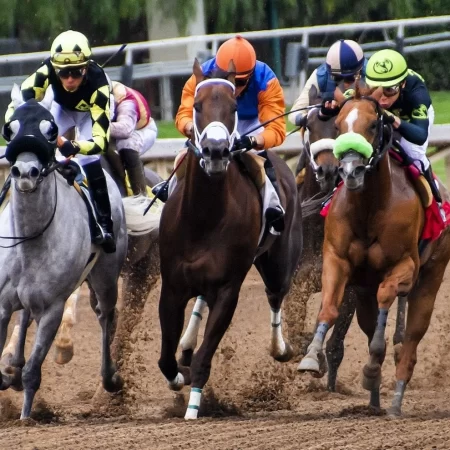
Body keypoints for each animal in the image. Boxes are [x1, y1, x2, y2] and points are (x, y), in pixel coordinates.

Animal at [0, 87, 128, 418]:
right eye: (10, 129)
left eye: (50, 131)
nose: (25, 172)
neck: (30, 239)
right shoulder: (2, 304)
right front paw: (8, 375)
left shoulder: (53, 308)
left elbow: (34, 371)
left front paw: (26, 417)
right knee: (24, 316)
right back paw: (13, 366)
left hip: (106, 275)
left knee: (106, 314)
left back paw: (110, 377)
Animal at [157, 59, 302, 418]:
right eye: (196, 106)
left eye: (234, 107)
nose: (216, 151)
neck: (203, 217)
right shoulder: (172, 286)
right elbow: (166, 359)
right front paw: (178, 375)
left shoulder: (227, 290)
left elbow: (205, 359)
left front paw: (193, 410)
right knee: (199, 303)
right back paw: (186, 344)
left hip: (279, 262)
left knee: (275, 295)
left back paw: (280, 347)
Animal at [298, 86, 450, 416]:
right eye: (338, 125)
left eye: (372, 125)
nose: (349, 170)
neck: (369, 207)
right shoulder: (337, 262)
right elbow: (328, 308)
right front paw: (311, 357)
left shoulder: (404, 267)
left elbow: (386, 303)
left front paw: (373, 365)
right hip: (363, 289)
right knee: (371, 327)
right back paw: (374, 400)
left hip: (430, 277)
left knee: (410, 341)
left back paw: (394, 401)